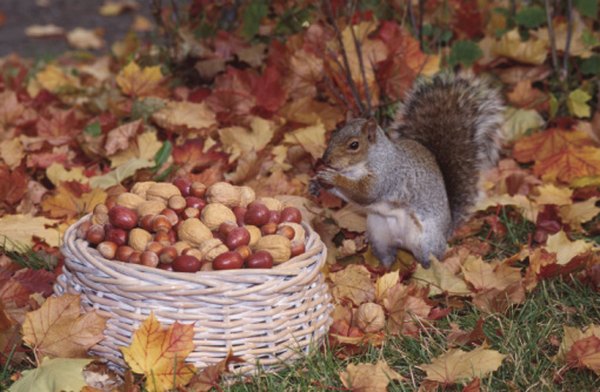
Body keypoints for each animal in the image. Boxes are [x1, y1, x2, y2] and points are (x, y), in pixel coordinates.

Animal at [312, 72, 504, 268]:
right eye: (335, 133)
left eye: (354, 145)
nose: (325, 159)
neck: (357, 168)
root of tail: (447, 229)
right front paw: (318, 183)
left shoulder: (387, 176)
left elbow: (364, 193)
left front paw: (333, 177)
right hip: (378, 234)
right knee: (387, 255)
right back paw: (383, 269)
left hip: (425, 242)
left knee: (431, 259)